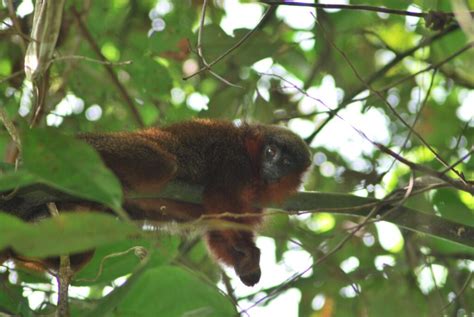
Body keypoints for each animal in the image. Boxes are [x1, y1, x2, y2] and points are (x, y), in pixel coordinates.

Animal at [1, 118, 312, 286]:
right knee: (159, 163)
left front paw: (246, 261)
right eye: (270, 151)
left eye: (286, 161)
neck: (254, 169)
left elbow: (216, 231)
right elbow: (222, 205)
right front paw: (246, 252)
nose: (274, 166)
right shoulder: (233, 163)